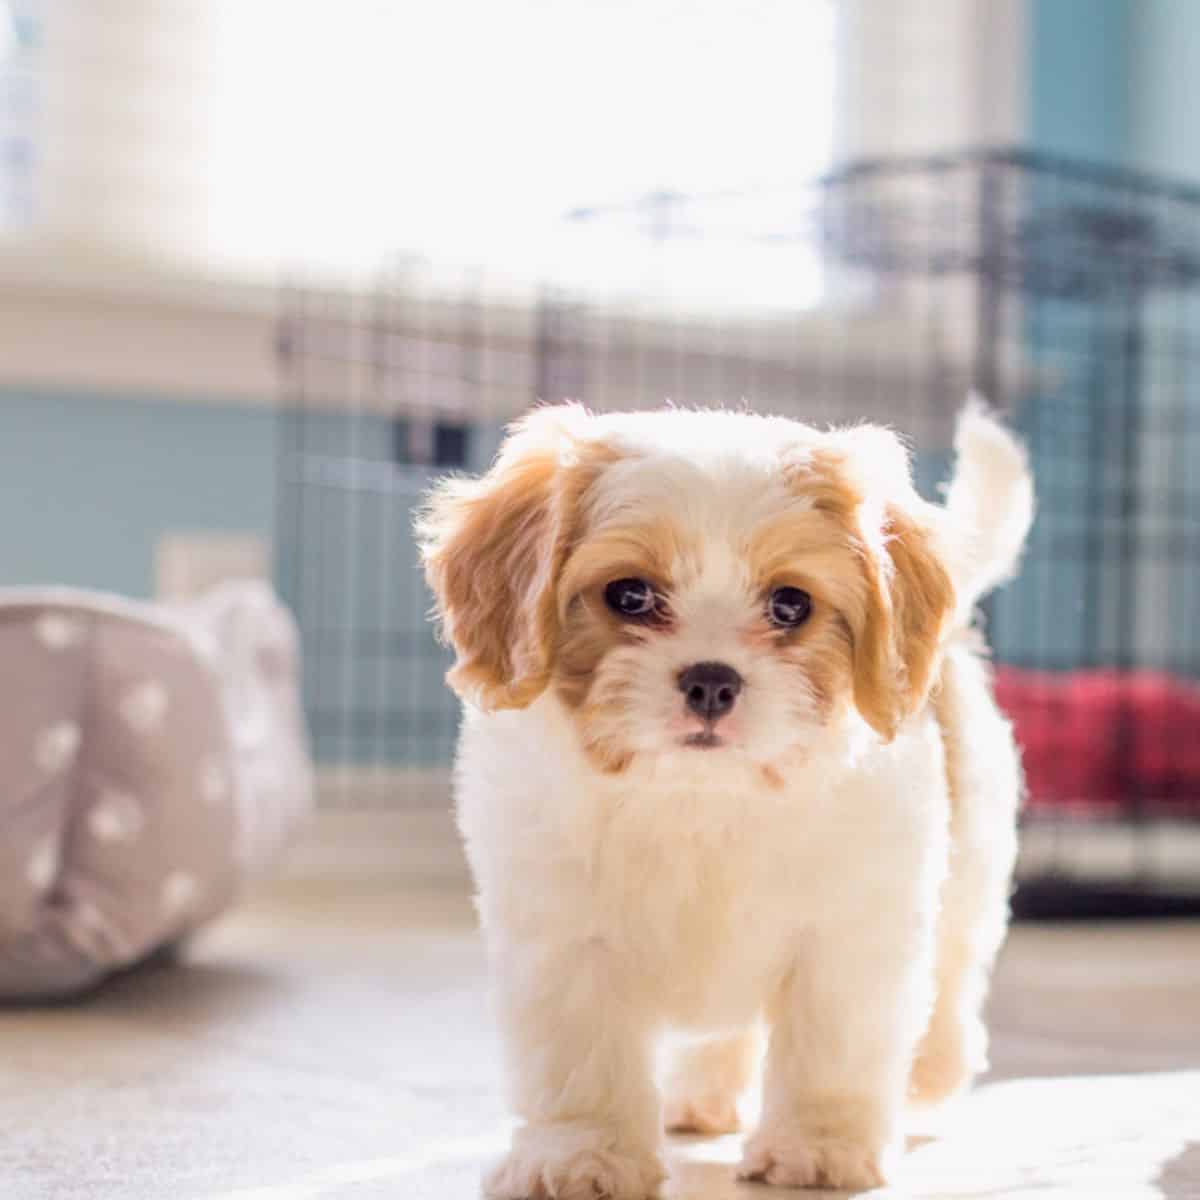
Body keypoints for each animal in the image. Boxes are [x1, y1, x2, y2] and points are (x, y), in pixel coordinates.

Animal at [420, 400, 1032, 1190]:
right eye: (630, 595)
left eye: (790, 604)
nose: (712, 680)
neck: (699, 795)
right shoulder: (562, 937)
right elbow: (578, 1060)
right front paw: (580, 1154)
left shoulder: (851, 930)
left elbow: (834, 1043)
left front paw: (820, 1147)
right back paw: (702, 1097)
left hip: (972, 854)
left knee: (955, 970)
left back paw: (931, 1067)